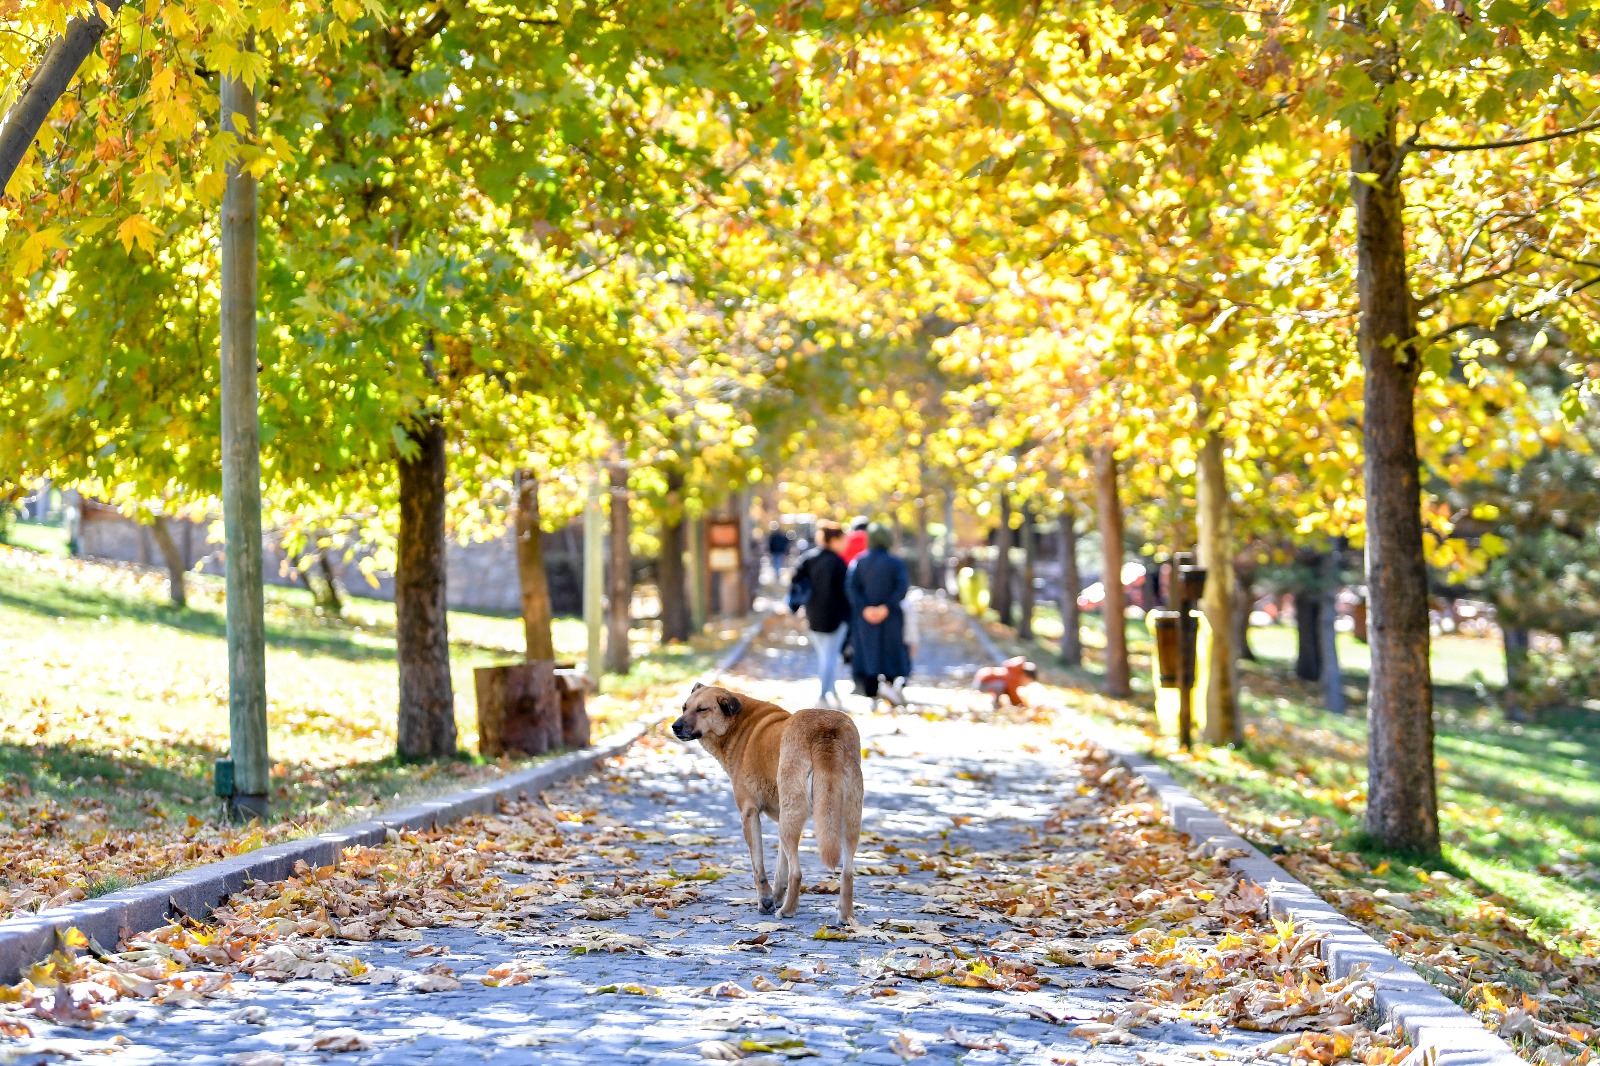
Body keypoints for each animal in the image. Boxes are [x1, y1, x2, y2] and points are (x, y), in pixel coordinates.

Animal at [672, 685, 864, 915]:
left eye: (702, 709)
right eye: (684, 707)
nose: (675, 727)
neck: (740, 724)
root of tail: (825, 730)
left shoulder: (749, 813)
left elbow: (759, 866)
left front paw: (765, 900)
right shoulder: (780, 816)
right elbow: (781, 867)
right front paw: (776, 896)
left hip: (792, 817)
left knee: (797, 872)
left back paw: (787, 911)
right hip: (847, 818)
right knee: (847, 872)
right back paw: (844, 914)